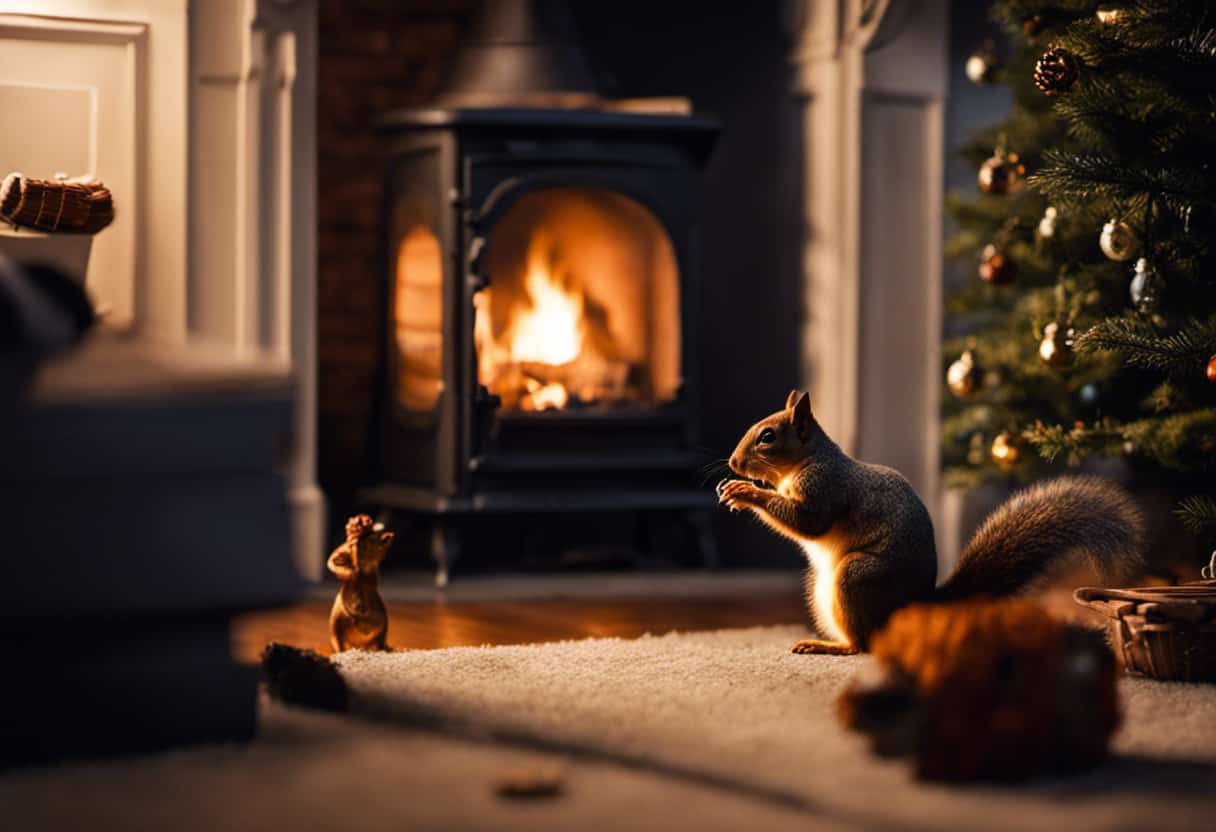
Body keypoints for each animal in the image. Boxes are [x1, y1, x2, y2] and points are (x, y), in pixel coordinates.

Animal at [328, 515, 393, 651]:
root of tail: (359, 646)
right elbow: (335, 559)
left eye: (373, 539)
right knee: (339, 643)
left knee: (380, 642)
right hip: (336, 623)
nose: (362, 521)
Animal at [715, 391, 1143, 656]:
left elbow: (809, 522)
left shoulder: (825, 486)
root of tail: (915, 606)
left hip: (854, 577)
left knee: (865, 644)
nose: (734, 462)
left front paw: (745, 492)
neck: (806, 461)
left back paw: (830, 646)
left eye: (767, 436)